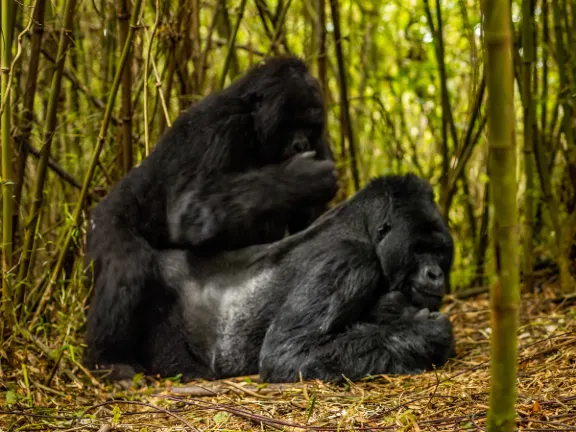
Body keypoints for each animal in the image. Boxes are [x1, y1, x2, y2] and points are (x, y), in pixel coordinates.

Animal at [83, 54, 340, 378]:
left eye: (309, 125)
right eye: (290, 123)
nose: (301, 144)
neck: (253, 123)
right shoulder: (219, 128)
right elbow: (191, 211)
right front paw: (300, 177)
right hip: (106, 222)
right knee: (129, 263)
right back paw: (108, 359)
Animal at [86, 172, 454, 382]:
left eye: (439, 251)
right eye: (419, 249)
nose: (435, 274)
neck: (363, 228)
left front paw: (398, 313)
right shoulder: (348, 262)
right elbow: (287, 354)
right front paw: (427, 333)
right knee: (132, 265)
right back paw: (111, 363)